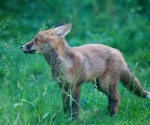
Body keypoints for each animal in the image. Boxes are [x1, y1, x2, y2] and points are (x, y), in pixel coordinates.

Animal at [21, 23, 150, 119]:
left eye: (36, 39)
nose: (21, 46)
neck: (63, 65)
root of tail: (119, 53)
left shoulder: (76, 85)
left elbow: (75, 105)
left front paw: (75, 120)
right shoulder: (63, 85)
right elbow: (66, 105)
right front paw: (66, 118)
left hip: (105, 83)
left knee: (117, 97)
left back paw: (112, 116)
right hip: (100, 85)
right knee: (111, 98)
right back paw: (107, 113)